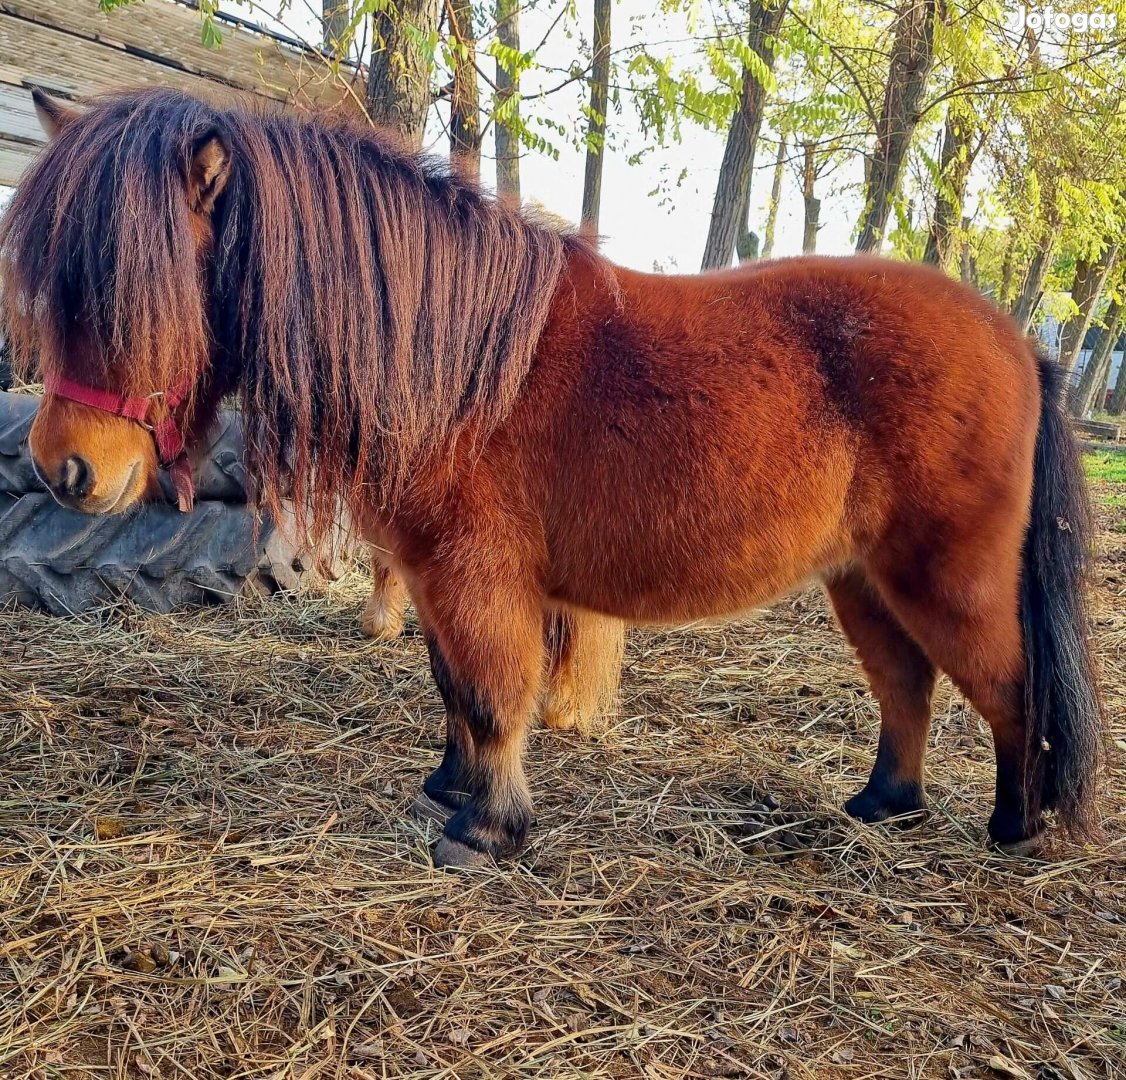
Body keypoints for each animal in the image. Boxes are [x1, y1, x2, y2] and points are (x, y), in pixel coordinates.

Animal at [4, 84, 1103, 869]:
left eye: (136, 292)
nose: (64, 471)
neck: (458, 362)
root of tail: (1019, 345)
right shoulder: (436, 583)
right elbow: (453, 690)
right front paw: (449, 790)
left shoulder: (476, 578)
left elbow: (495, 695)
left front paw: (485, 832)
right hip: (863, 579)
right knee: (907, 687)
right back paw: (883, 805)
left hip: (946, 580)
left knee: (1010, 692)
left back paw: (1015, 828)